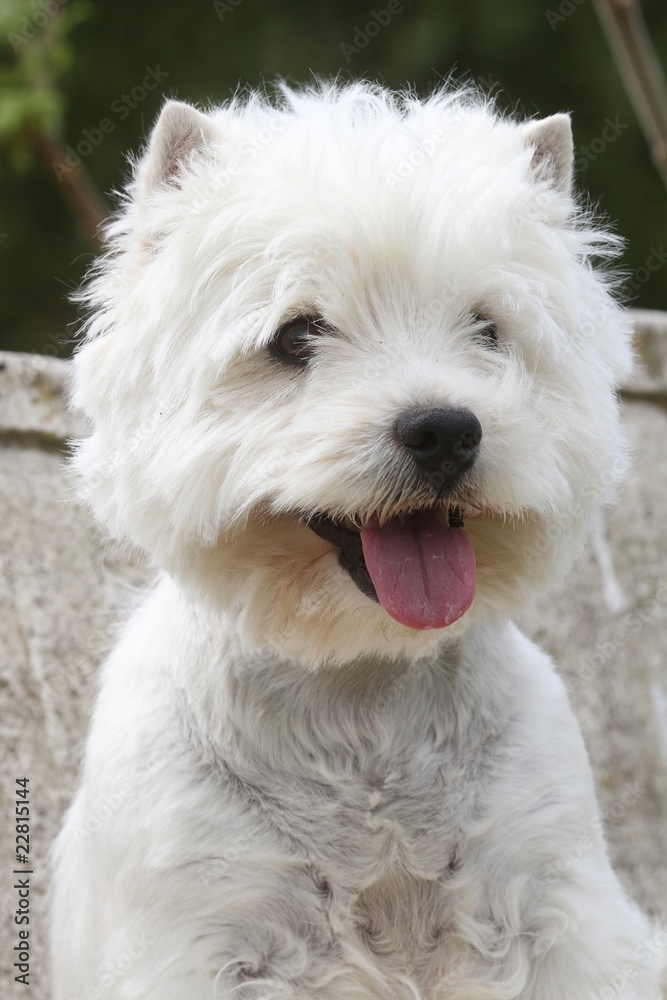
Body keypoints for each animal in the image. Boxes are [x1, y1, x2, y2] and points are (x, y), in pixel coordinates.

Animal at [51, 86, 664, 1000]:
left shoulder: (553, 906)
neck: (361, 694)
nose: (444, 430)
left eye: (486, 329)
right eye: (296, 336)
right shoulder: (200, 931)